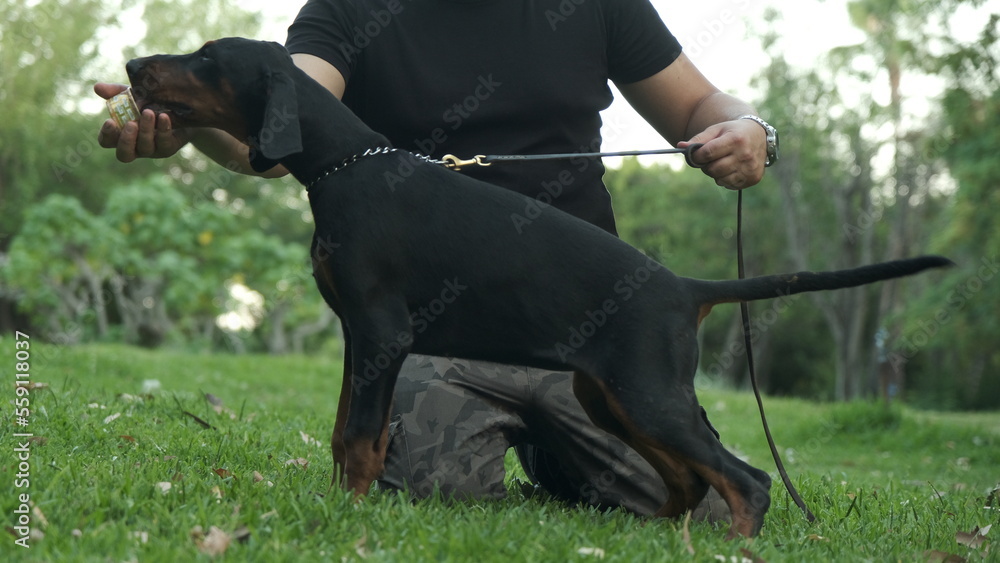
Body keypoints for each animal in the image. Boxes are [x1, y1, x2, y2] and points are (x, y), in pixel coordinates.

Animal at [127, 37, 952, 540]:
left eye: (208, 58)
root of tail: (684, 287)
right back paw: (656, 536)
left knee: (744, 479)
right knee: (690, 478)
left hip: (645, 390)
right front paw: (336, 504)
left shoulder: (381, 330)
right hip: (609, 395)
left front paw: (348, 518)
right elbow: (342, 433)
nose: (134, 65)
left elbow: (360, 438)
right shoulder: (358, 337)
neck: (344, 166)